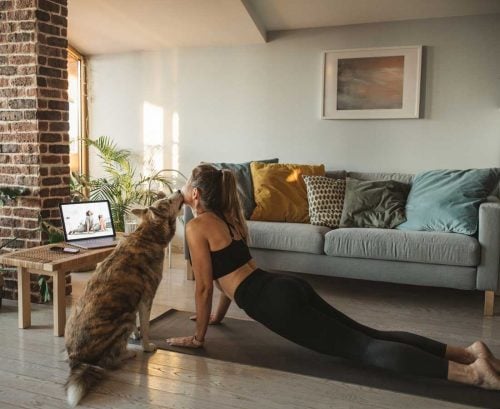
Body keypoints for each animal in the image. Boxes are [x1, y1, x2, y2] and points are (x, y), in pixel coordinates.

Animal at [64, 190, 184, 404]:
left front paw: (136, 336)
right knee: (110, 361)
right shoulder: (146, 298)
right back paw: (127, 355)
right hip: (124, 320)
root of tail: (76, 359)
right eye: (169, 201)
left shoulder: (134, 300)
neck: (147, 235)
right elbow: (146, 327)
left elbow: (139, 324)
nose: (179, 191)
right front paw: (146, 346)